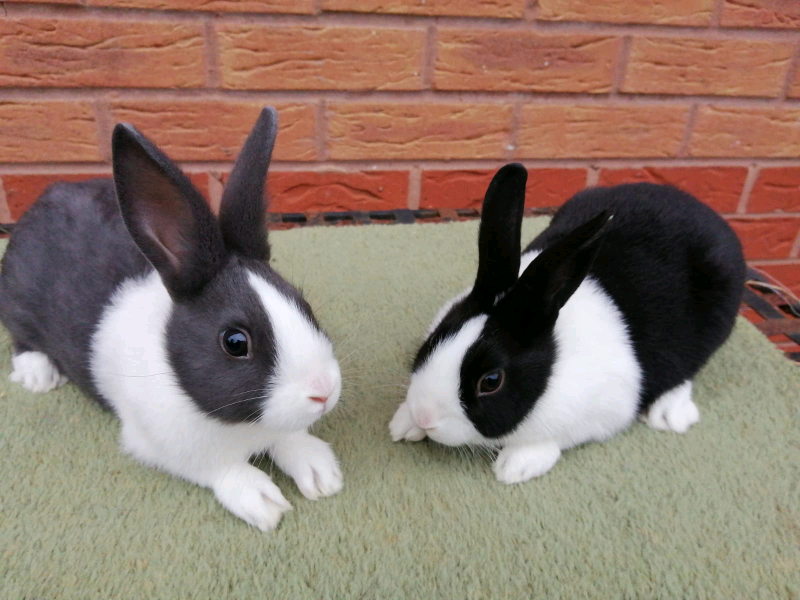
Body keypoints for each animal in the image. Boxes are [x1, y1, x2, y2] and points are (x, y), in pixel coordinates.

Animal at [0, 107, 344, 531]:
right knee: (20, 336)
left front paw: (321, 473)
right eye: (235, 342)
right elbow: (221, 469)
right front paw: (264, 503)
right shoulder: (160, 446)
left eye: (303, 304)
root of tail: (46, 197)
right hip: (17, 298)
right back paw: (38, 375)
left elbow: (289, 439)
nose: (324, 392)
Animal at [390, 163, 746, 484]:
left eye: (491, 381)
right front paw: (403, 424)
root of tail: (703, 210)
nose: (425, 416)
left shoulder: (605, 411)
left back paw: (670, 414)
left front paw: (517, 466)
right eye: (434, 339)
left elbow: (552, 439)